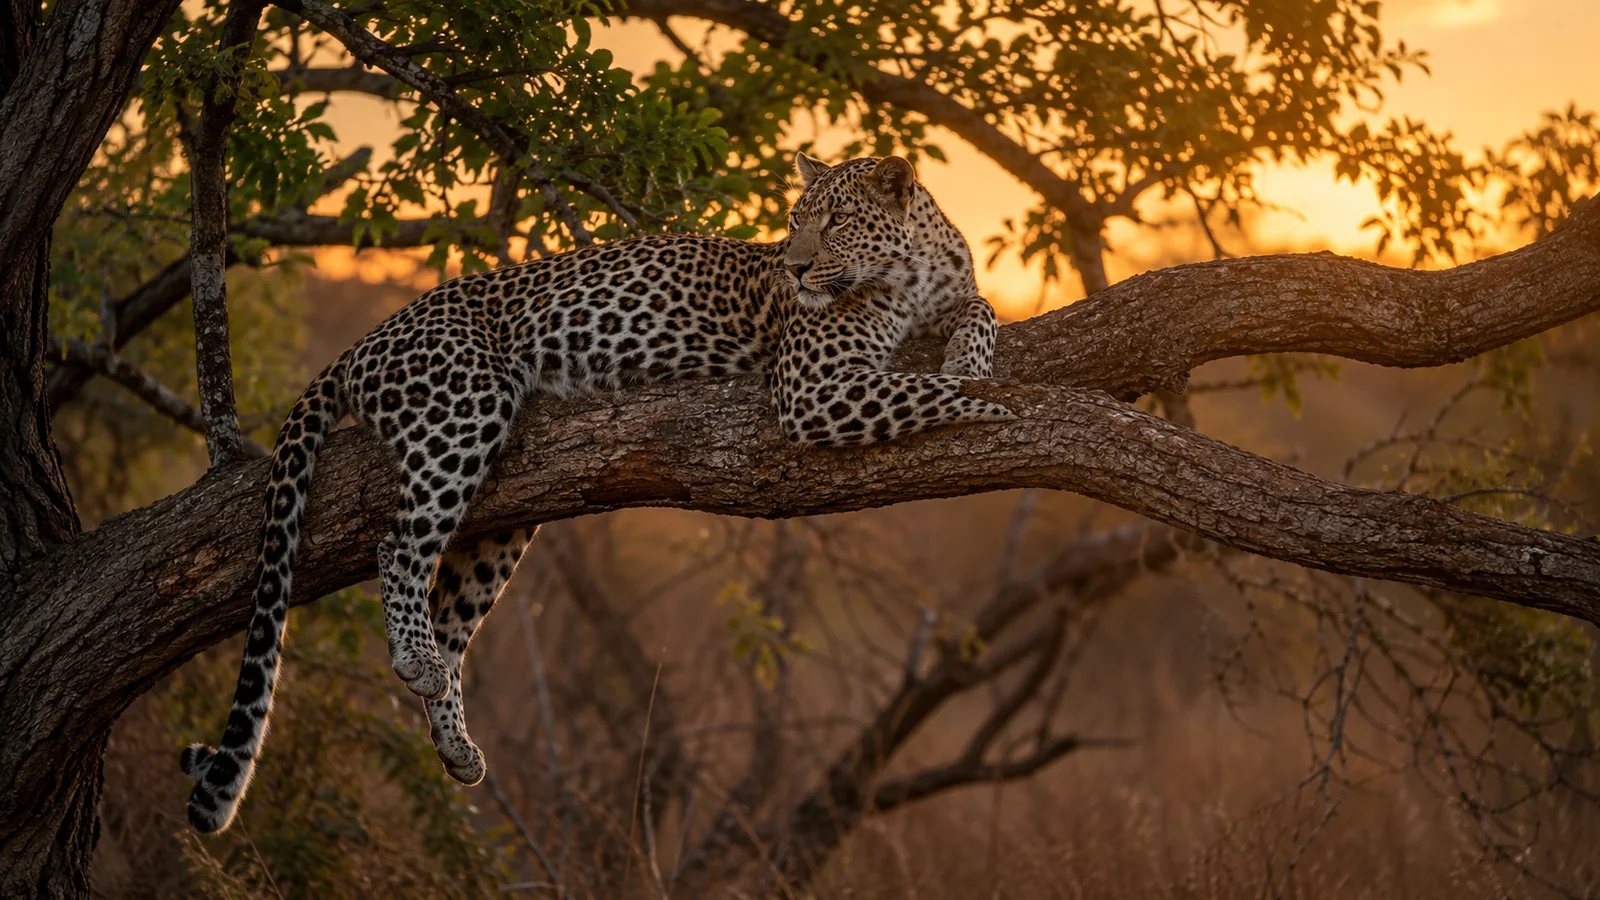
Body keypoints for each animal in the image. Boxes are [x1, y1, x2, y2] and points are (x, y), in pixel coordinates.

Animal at [180, 153, 1016, 833]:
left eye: (837, 220)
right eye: (793, 222)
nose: (797, 269)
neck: (912, 272)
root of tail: (365, 341)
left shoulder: (939, 304)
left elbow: (978, 310)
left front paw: (974, 358)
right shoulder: (814, 388)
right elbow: (927, 392)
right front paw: (999, 406)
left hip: (509, 511)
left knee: (450, 620)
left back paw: (457, 744)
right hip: (466, 407)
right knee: (400, 545)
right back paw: (416, 658)